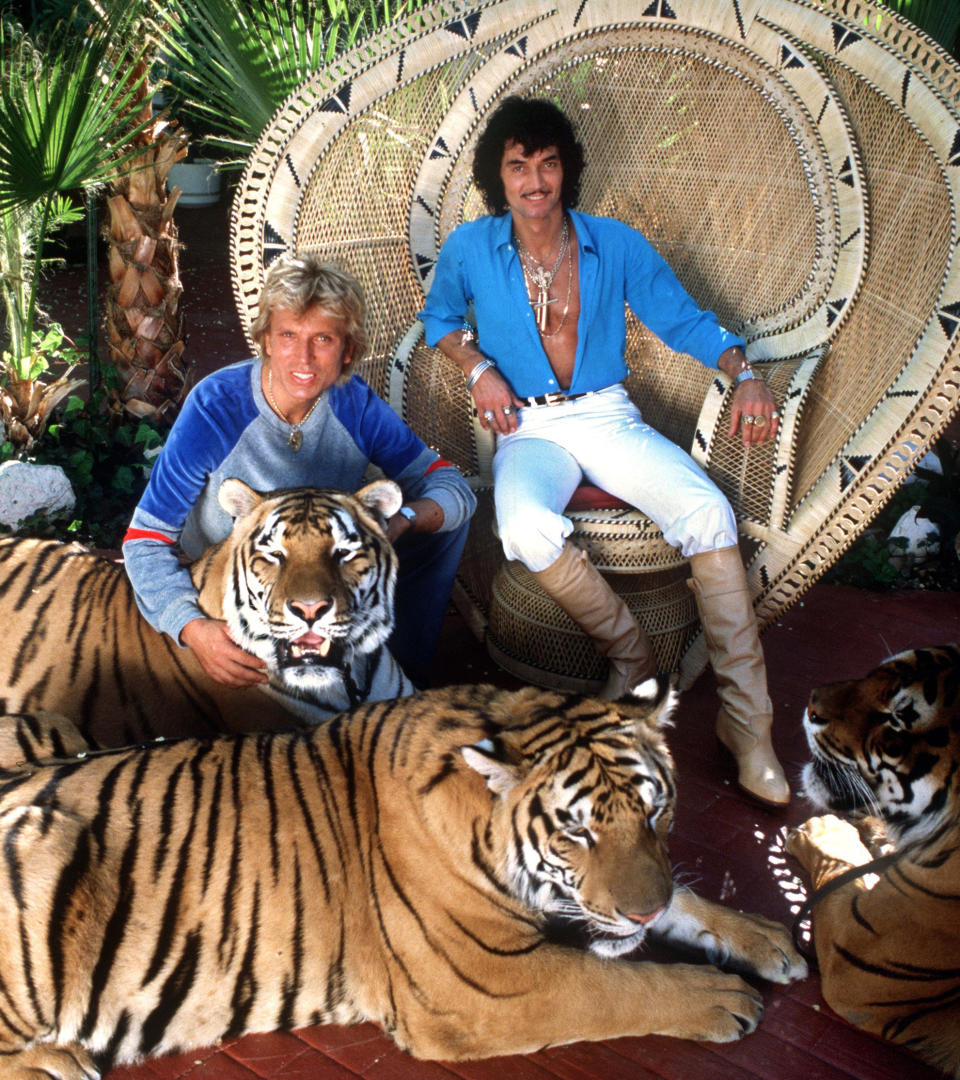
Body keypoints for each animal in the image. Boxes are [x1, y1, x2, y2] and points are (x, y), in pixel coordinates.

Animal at [0, 678, 807, 1075]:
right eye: (576, 831)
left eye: (656, 808)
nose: (639, 918)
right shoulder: (482, 986)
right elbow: (618, 985)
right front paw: (725, 997)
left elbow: (684, 900)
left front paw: (770, 939)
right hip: (42, 844)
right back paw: (59, 1063)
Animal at [786, 643, 958, 1075]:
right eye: (877, 672)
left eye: (897, 719)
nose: (811, 703)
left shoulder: (854, 959)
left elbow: (837, 866)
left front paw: (824, 829)